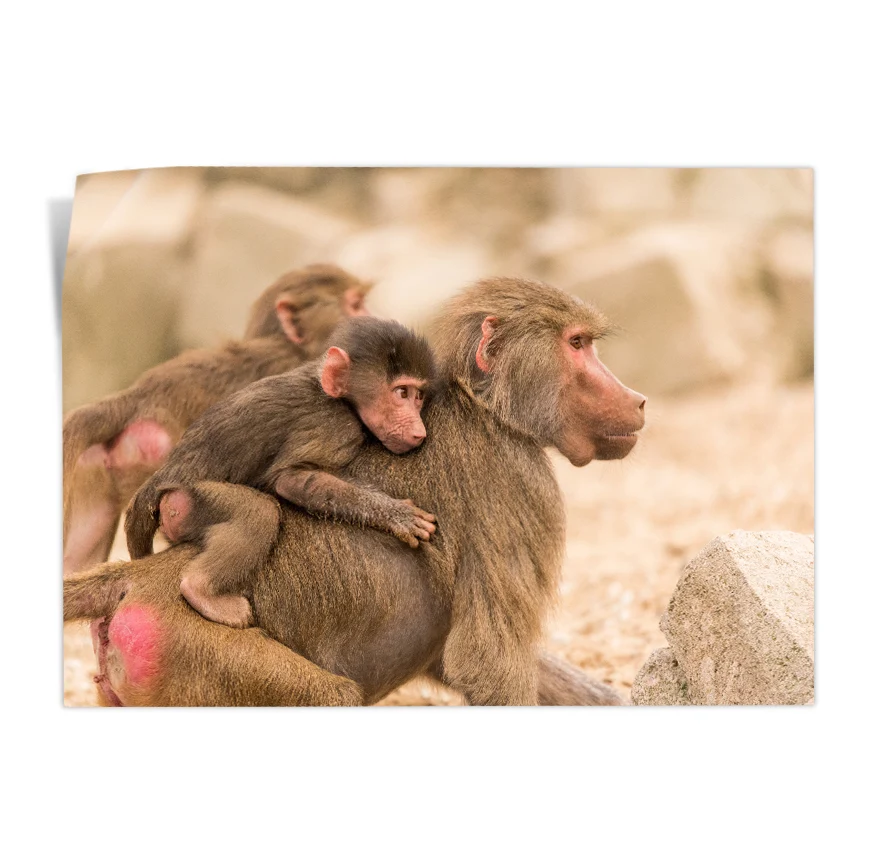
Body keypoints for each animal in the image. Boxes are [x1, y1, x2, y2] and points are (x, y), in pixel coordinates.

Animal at [123, 317, 439, 629]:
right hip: (188, 501)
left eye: (419, 396)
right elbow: (292, 479)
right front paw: (396, 515)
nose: (419, 431)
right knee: (259, 512)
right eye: (401, 393)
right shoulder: (334, 424)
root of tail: (157, 483)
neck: (339, 397)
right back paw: (200, 590)